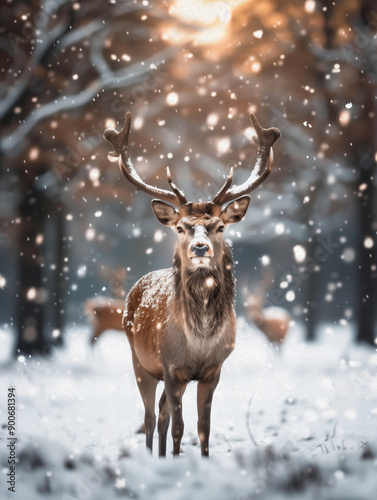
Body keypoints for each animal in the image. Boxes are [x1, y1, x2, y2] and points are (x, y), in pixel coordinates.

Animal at [103, 111, 280, 456]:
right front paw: (173, 458)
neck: (199, 340)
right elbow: (179, 426)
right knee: (149, 416)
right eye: (181, 227)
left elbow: (203, 428)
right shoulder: (172, 367)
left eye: (220, 226)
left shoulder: (213, 370)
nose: (200, 248)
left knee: (159, 414)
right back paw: (150, 455)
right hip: (140, 361)